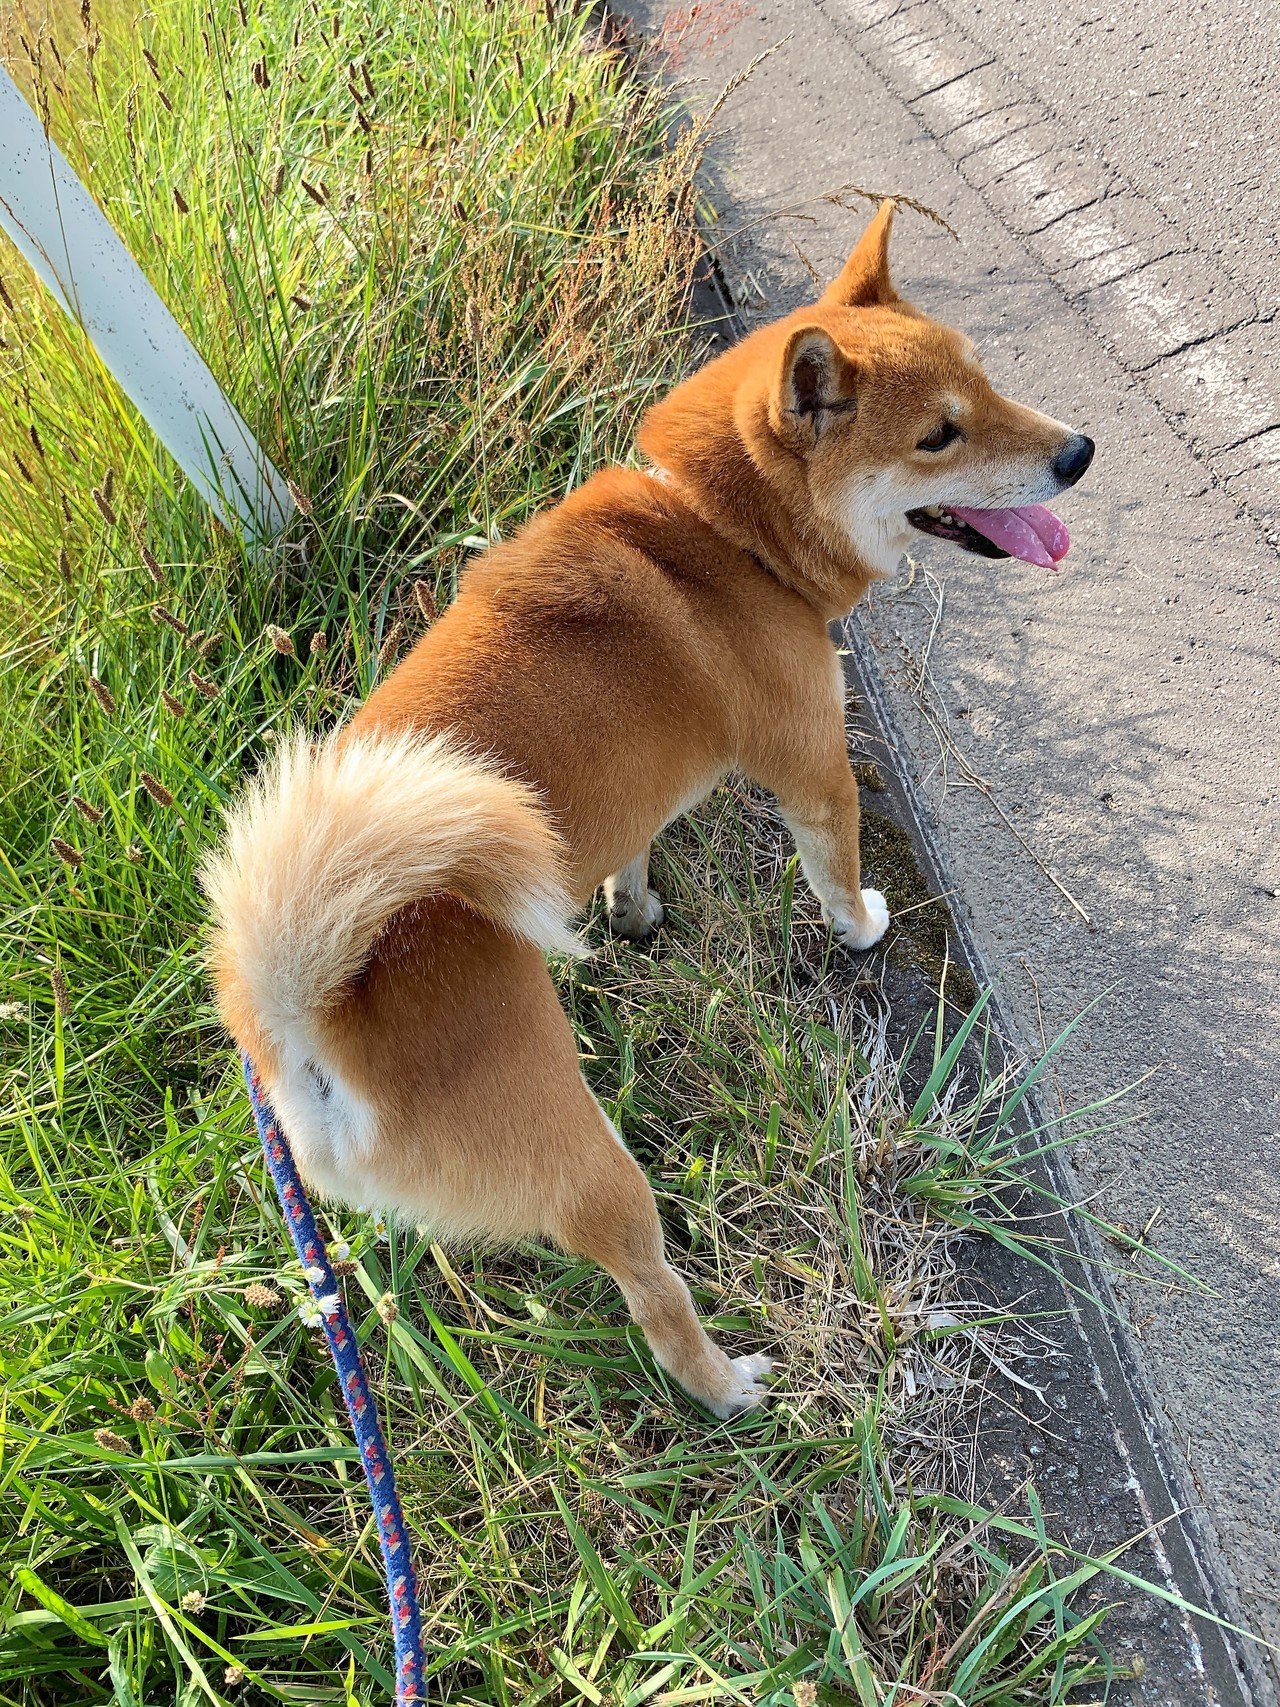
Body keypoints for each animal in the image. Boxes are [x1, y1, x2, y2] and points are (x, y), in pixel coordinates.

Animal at [203, 202, 1093, 1418]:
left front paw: (632, 912)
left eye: (987, 382)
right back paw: (730, 1387)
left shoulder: (651, 791)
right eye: (938, 436)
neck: (720, 532)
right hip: (596, 1170)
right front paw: (863, 925)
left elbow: (638, 847)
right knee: (655, 1300)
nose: (1078, 452)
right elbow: (835, 868)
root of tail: (302, 1024)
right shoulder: (819, 769)